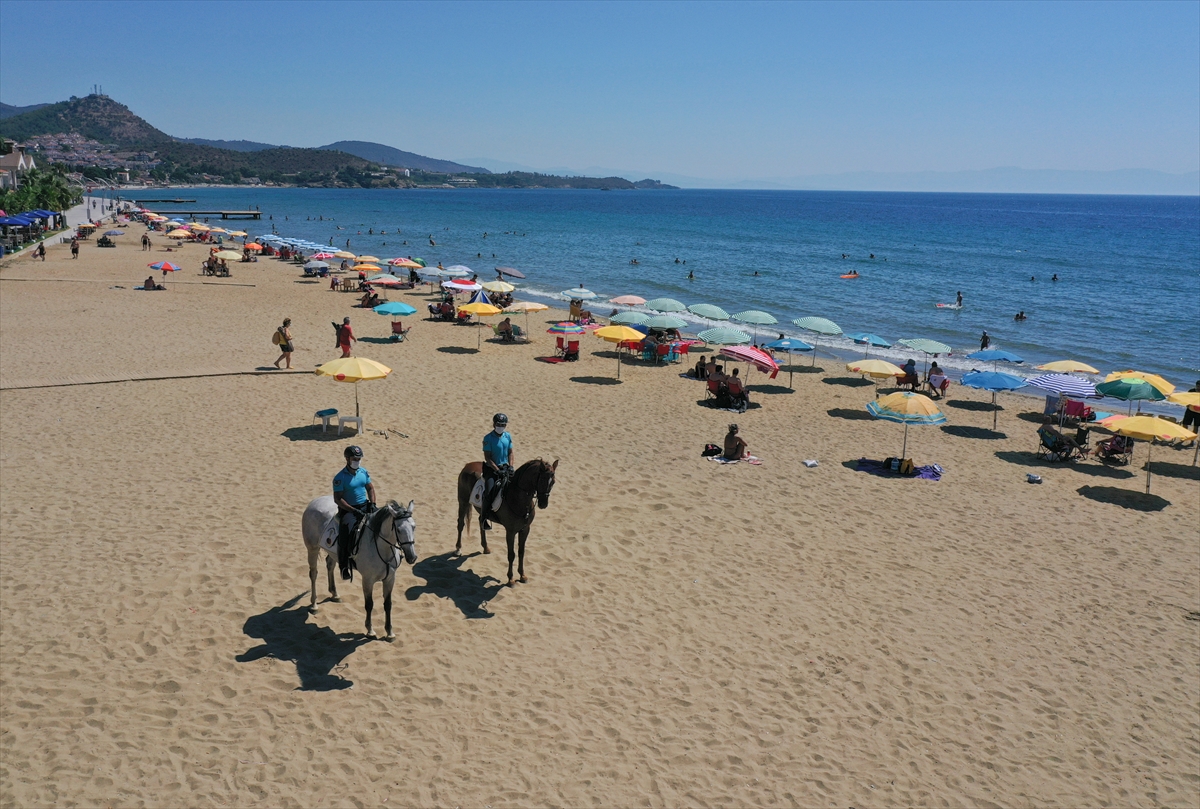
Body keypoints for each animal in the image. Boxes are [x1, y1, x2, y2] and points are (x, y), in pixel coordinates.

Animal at [300, 494, 417, 638]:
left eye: (414, 527)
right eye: (399, 530)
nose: (412, 557)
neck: (381, 548)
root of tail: (315, 501)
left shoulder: (390, 579)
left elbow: (388, 604)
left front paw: (390, 632)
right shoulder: (367, 580)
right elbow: (369, 604)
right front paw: (370, 630)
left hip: (333, 553)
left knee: (330, 566)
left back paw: (335, 594)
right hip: (312, 548)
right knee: (313, 574)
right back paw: (314, 605)